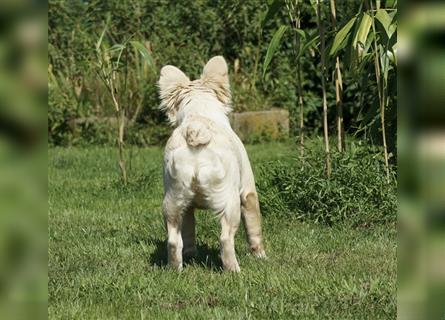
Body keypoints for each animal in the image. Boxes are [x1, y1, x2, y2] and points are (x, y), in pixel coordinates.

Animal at [159, 56, 266, 272]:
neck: (199, 111)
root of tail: (196, 128)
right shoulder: (248, 192)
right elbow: (254, 227)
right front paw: (261, 256)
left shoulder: (187, 208)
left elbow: (189, 234)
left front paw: (190, 256)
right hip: (230, 204)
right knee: (225, 239)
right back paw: (234, 270)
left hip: (173, 202)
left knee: (174, 240)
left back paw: (175, 269)